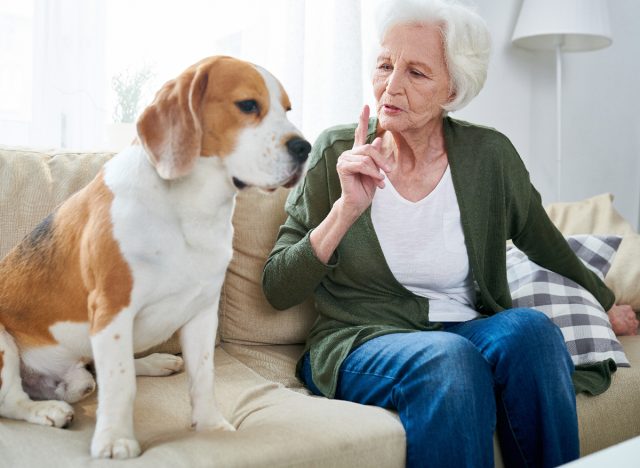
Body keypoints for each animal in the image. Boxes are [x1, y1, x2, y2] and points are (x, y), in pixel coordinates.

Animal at [0, 56, 310, 458]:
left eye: (287, 109)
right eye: (247, 105)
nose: (304, 148)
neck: (192, 208)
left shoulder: (202, 312)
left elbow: (203, 375)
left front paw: (210, 426)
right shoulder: (112, 308)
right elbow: (120, 383)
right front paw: (115, 438)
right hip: (5, 344)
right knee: (12, 400)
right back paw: (46, 409)